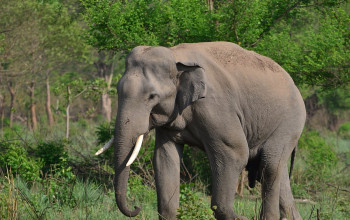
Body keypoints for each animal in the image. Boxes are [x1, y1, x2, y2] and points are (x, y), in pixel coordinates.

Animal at [94, 41, 304, 220]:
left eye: (152, 96)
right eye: (118, 91)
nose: (137, 207)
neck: (176, 55)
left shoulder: (214, 106)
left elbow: (235, 152)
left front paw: (240, 217)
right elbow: (164, 157)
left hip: (290, 123)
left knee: (269, 167)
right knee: (277, 173)